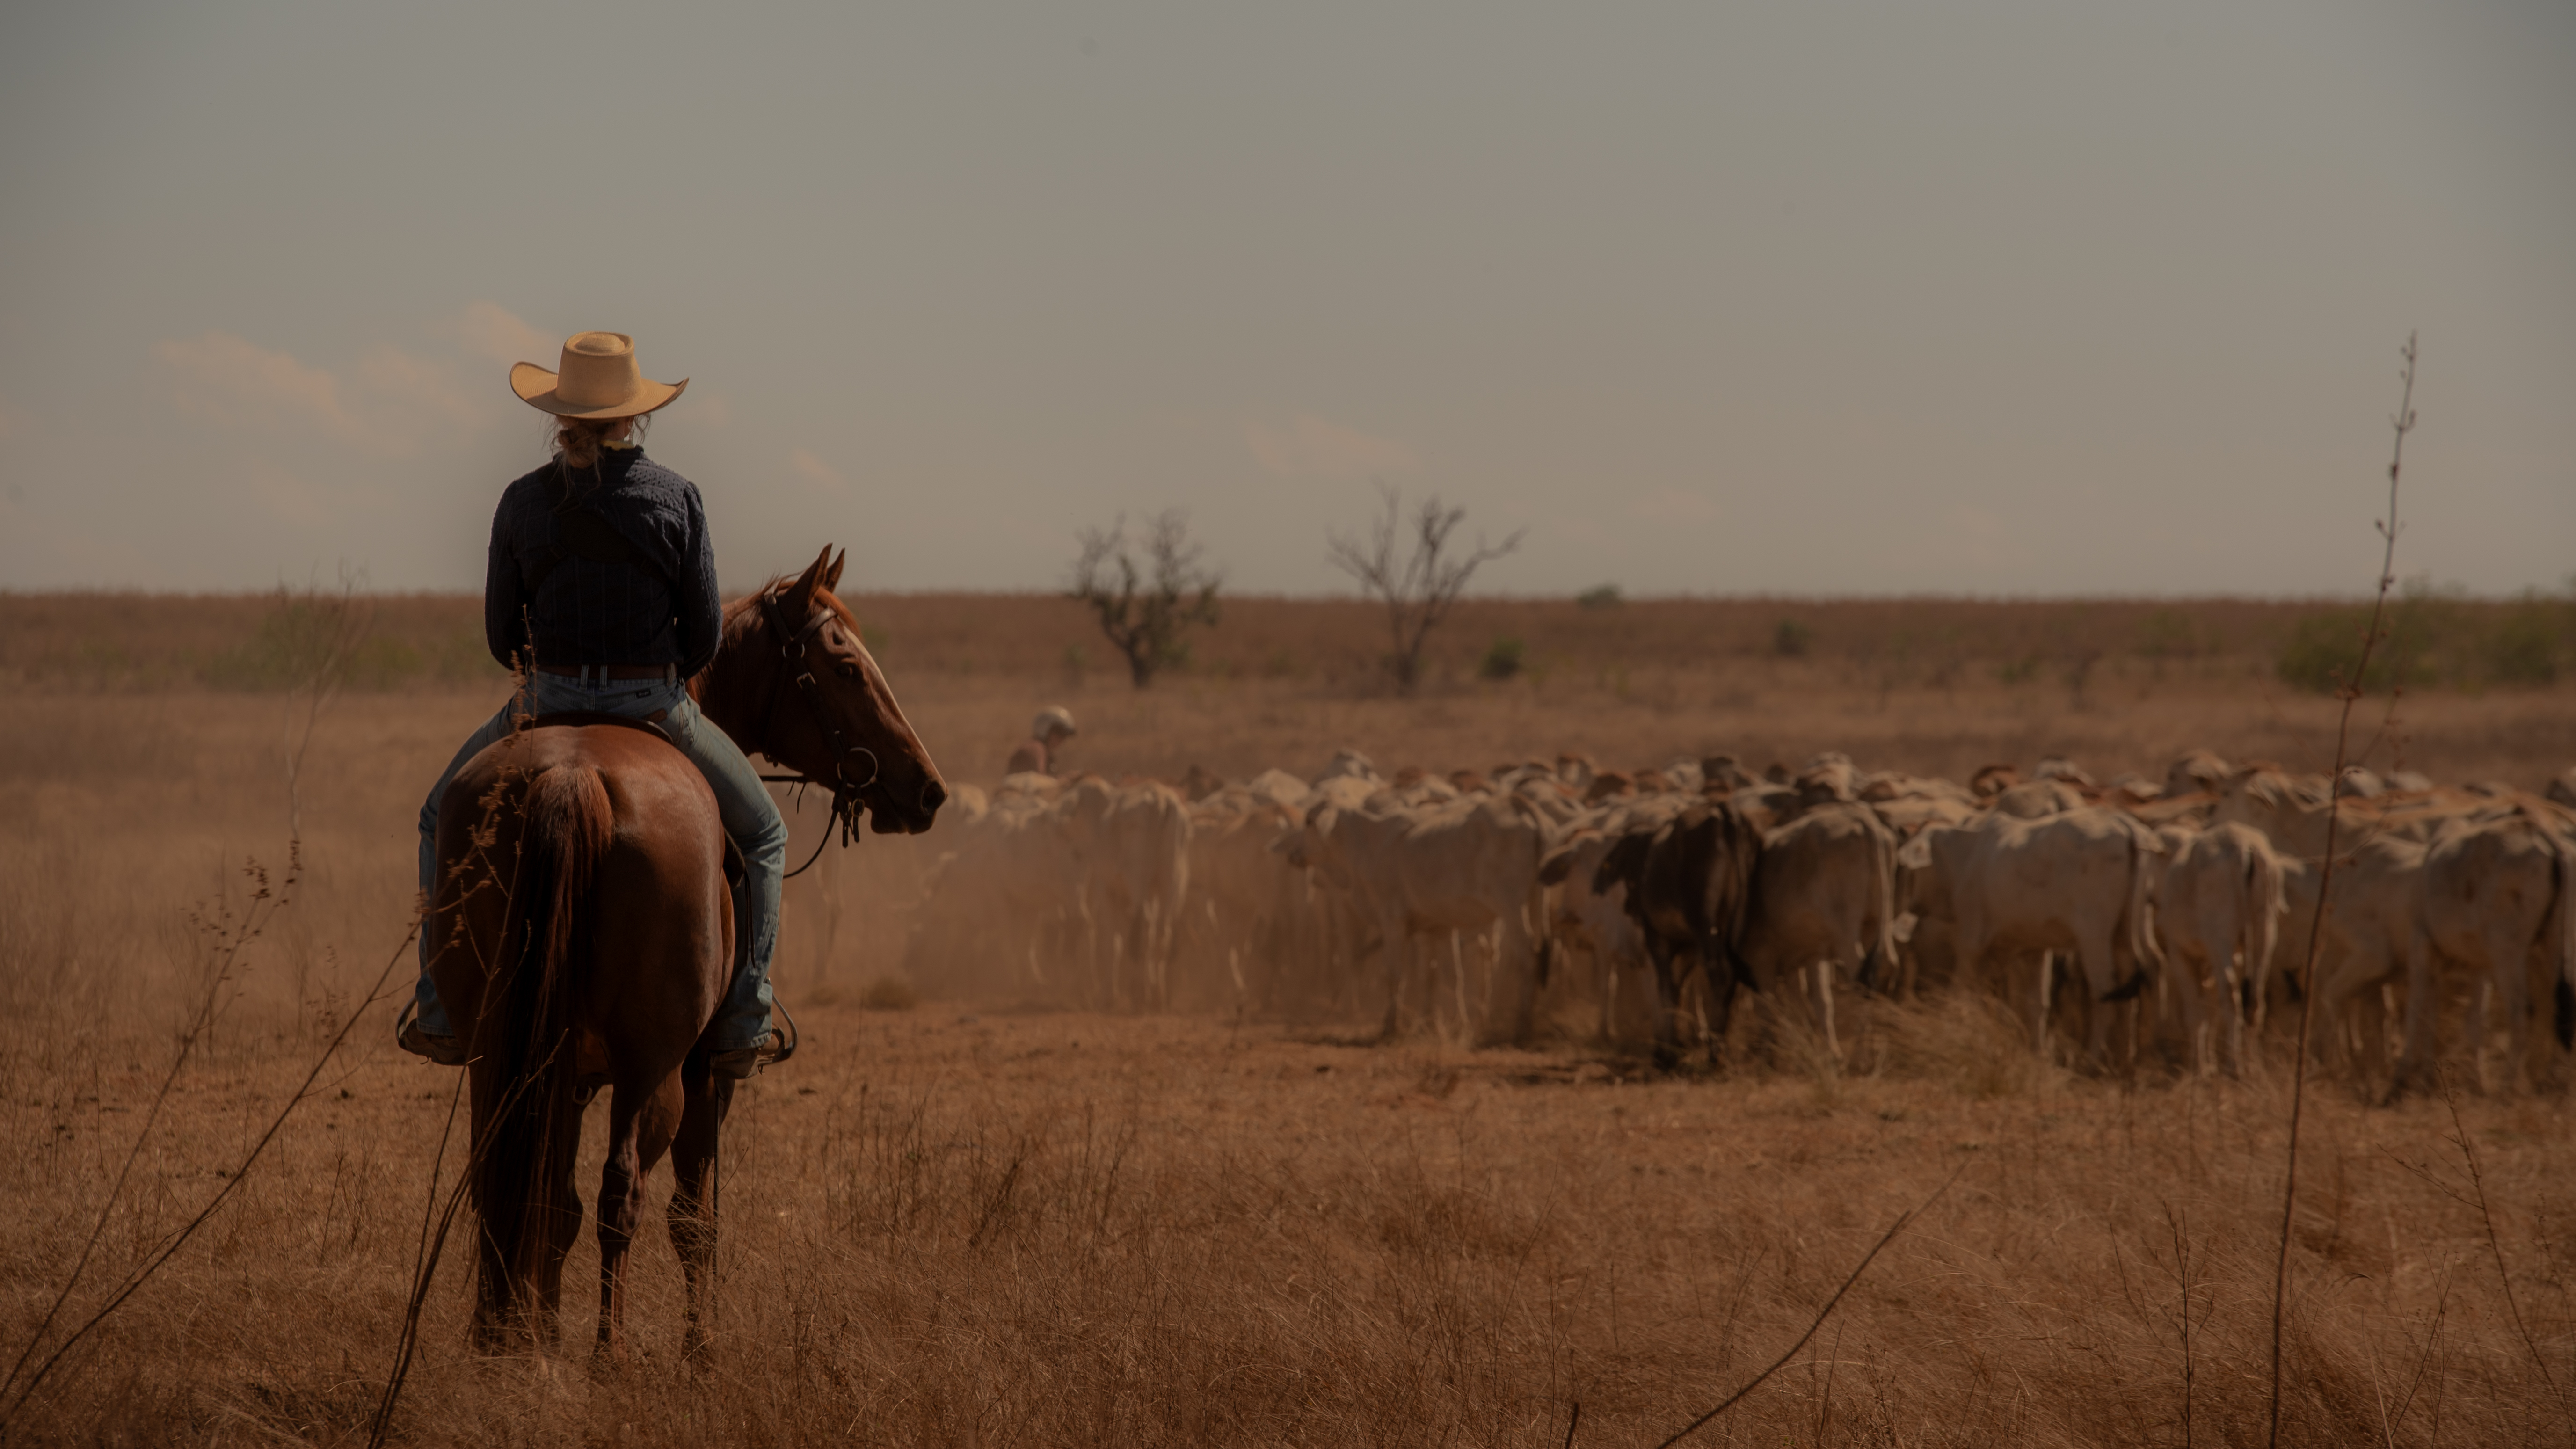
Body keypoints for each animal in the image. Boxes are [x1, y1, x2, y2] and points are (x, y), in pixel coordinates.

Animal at [433, 541, 948, 1351]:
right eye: (845, 667)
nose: (927, 789)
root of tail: (572, 777)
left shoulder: (563, 1072)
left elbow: (549, 1203)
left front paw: (539, 1338)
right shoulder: (709, 1078)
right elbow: (693, 1219)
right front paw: (697, 1352)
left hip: (496, 1049)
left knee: (508, 1183)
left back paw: (502, 1346)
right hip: (656, 1068)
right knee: (623, 1193)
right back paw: (607, 1358)